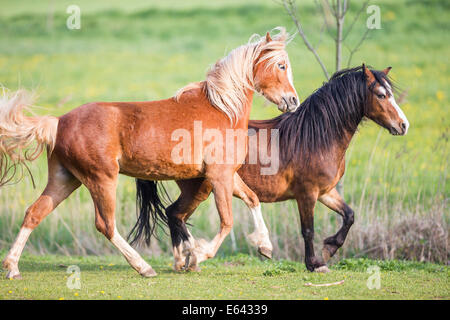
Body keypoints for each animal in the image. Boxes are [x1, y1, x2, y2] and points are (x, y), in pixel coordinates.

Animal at [1, 26, 300, 278]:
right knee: (105, 224)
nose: (293, 101)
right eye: (282, 65)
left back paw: (12, 268)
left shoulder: (224, 175)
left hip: (65, 179)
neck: (223, 108)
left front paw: (264, 246)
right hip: (101, 179)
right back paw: (144, 267)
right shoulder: (219, 176)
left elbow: (252, 199)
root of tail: (59, 122)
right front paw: (199, 254)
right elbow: (227, 222)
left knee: (34, 213)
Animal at [154, 65, 408, 272]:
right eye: (381, 94)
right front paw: (314, 263)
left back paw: (186, 260)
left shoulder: (326, 192)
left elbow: (349, 216)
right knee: (175, 214)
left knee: (174, 214)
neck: (314, 138)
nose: (403, 125)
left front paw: (329, 249)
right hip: (200, 190)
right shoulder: (307, 194)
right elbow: (308, 230)